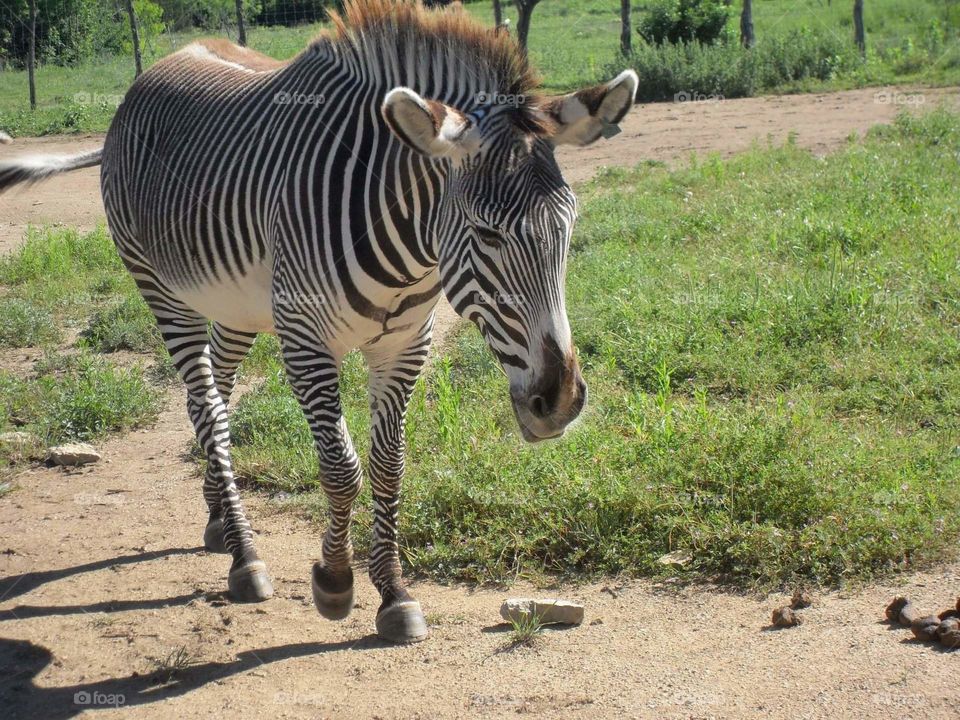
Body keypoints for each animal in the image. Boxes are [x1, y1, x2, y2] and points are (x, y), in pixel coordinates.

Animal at [0, 0, 638, 643]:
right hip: (162, 290)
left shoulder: (406, 344)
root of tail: (152, 73)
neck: (407, 245)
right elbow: (340, 468)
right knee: (208, 409)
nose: (560, 402)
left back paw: (219, 519)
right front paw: (335, 581)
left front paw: (393, 591)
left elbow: (388, 467)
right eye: (487, 233)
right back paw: (245, 557)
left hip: (238, 305)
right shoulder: (306, 339)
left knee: (217, 398)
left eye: (570, 224)